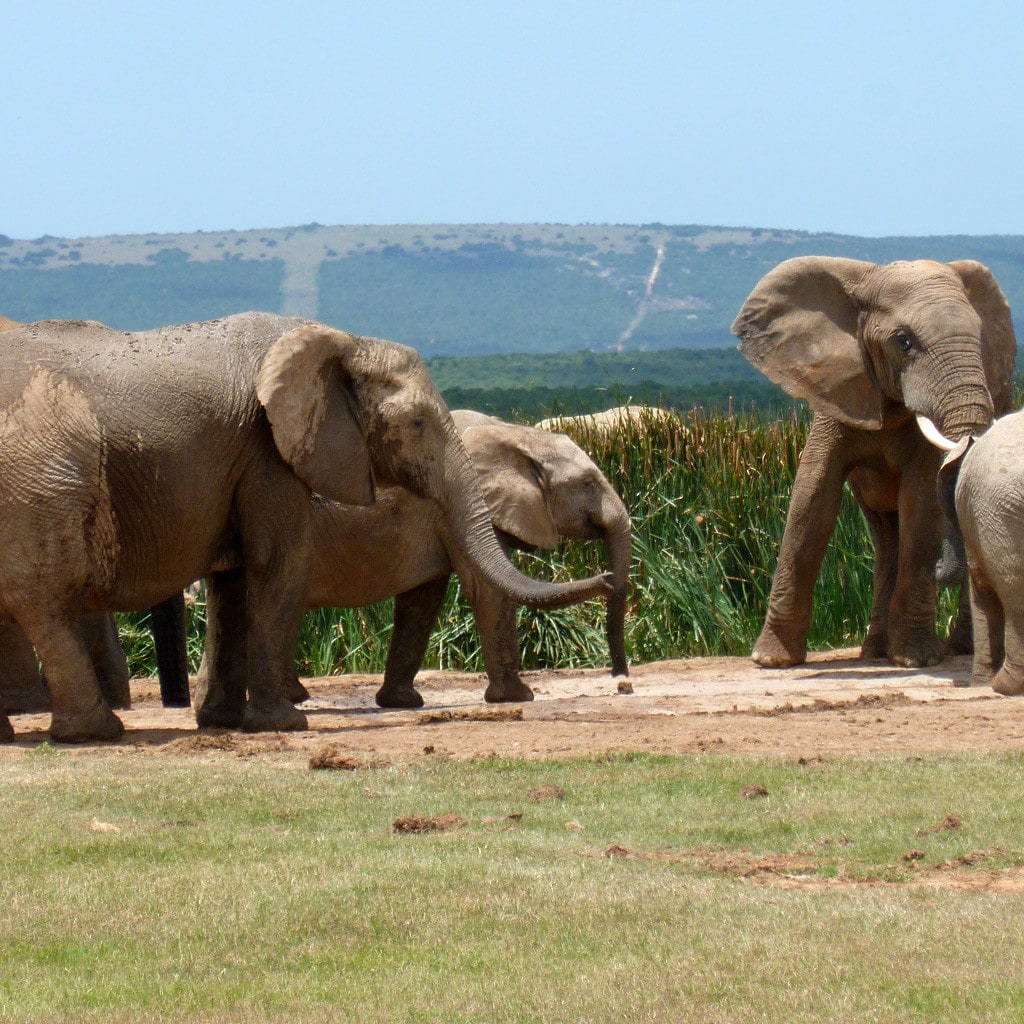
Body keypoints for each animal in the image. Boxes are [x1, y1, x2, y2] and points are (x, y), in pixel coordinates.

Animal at [0, 313, 610, 743]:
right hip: (42, 483)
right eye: (416, 423)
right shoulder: (266, 446)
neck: (340, 340)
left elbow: (238, 580)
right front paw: (281, 727)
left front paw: (224, 723)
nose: (609, 580)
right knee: (49, 600)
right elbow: (277, 564)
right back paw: (93, 733)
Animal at [733, 257, 1016, 669]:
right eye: (903, 342)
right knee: (885, 532)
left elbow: (921, 504)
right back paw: (876, 652)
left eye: (980, 338)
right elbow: (811, 500)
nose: (939, 569)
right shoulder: (837, 391)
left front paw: (915, 661)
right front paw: (770, 660)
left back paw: (954, 650)